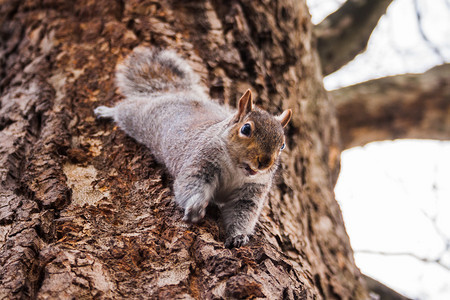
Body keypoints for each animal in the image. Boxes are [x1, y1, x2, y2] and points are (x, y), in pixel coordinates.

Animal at [94, 47, 292, 248]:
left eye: (283, 145)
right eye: (246, 129)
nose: (265, 162)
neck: (236, 170)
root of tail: (178, 92)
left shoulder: (251, 191)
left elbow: (242, 214)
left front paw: (238, 236)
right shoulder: (201, 160)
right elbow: (191, 184)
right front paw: (196, 207)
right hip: (139, 117)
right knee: (126, 108)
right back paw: (107, 111)